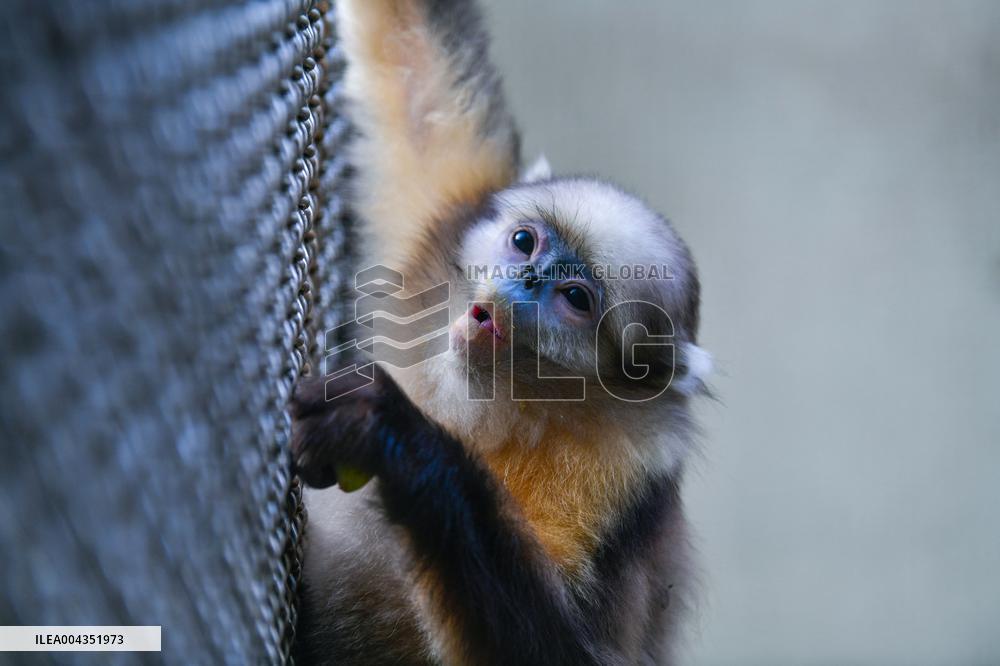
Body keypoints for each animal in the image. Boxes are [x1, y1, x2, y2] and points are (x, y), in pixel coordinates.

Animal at [291, 1, 712, 664]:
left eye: (575, 298)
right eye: (523, 241)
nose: (523, 282)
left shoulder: (623, 474)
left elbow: (555, 651)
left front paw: (396, 440)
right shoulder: (456, 211)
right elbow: (419, 80)